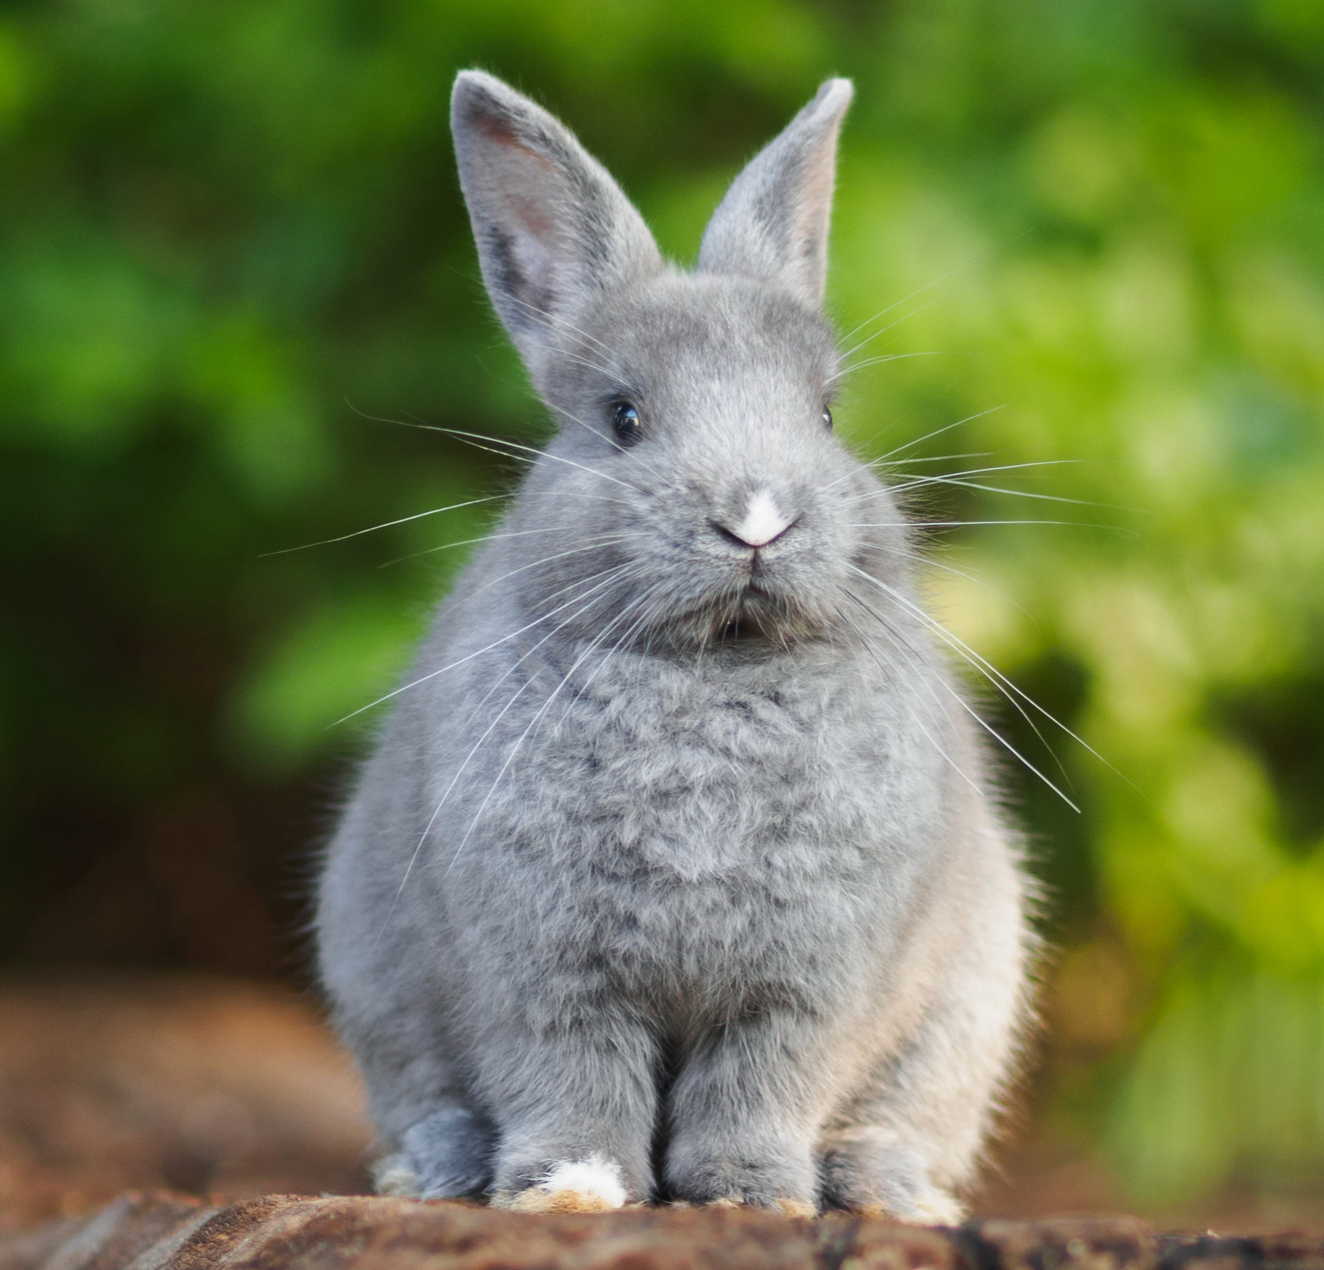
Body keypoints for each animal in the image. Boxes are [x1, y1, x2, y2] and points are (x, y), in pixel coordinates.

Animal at [316, 69, 1033, 1222]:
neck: (716, 667)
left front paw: (750, 1196)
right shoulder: (543, 976)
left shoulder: (806, 987)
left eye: (826, 415)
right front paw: (570, 1190)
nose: (756, 519)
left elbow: (760, 1082)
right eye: (623, 417)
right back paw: (431, 1173)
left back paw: (890, 1194)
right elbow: (570, 1078)